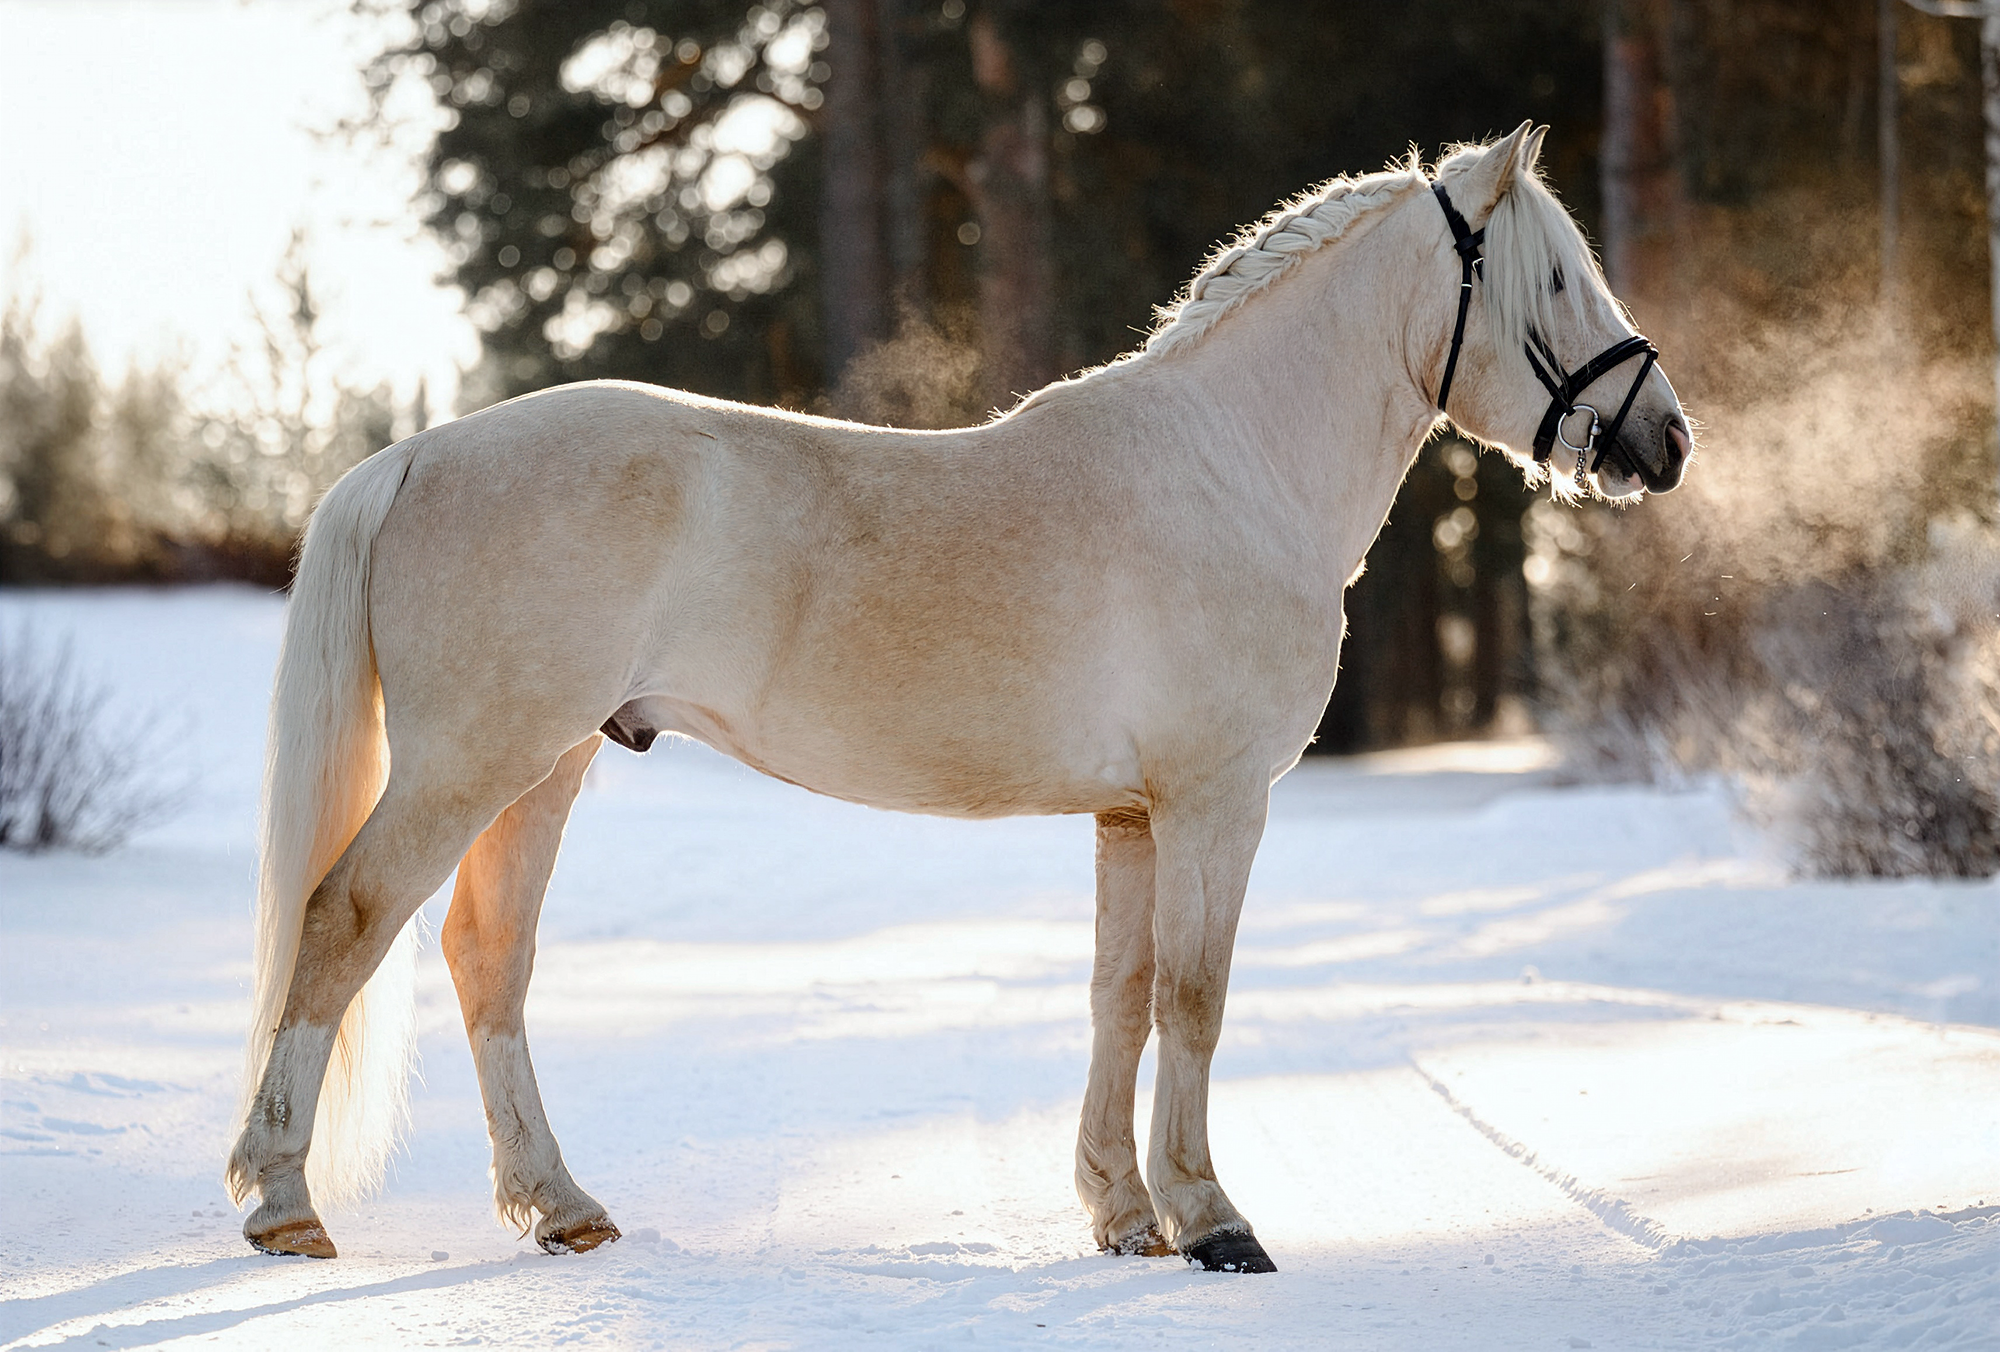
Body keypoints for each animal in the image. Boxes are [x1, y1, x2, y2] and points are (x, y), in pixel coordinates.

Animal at [225, 123, 1690, 1272]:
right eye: (1557, 276)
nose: (1665, 439)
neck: (1232, 468)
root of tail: (418, 453)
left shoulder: (1131, 816)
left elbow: (1119, 993)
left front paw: (1123, 1216)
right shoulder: (1212, 802)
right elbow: (1195, 996)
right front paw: (1211, 1220)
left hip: (546, 767)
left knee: (488, 958)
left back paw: (560, 1204)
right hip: (473, 764)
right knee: (344, 920)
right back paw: (284, 1202)